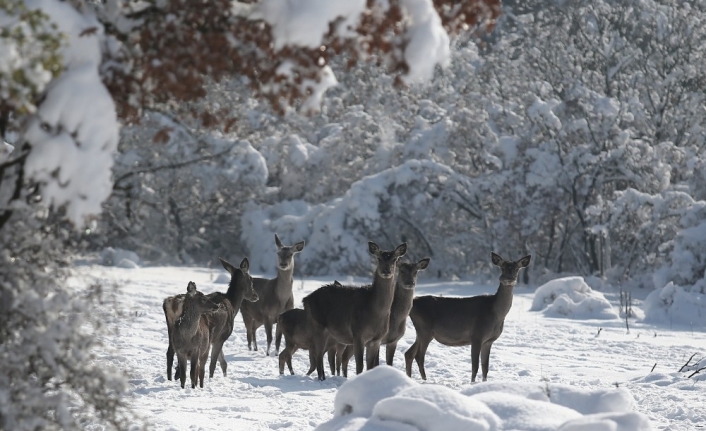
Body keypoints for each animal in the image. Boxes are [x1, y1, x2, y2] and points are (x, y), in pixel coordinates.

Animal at [302, 243, 408, 382]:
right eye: (378, 258)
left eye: (395, 259)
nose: (386, 271)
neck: (374, 311)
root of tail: (306, 299)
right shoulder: (358, 334)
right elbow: (360, 365)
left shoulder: (376, 340)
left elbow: (370, 366)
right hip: (318, 325)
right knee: (318, 355)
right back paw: (321, 379)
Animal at [402, 251, 528, 384]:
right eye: (502, 267)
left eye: (517, 269)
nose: (509, 278)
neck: (495, 314)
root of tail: (413, 303)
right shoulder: (476, 335)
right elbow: (475, 366)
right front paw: (472, 383)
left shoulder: (488, 341)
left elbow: (485, 367)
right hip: (425, 330)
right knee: (419, 356)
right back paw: (424, 380)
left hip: (420, 332)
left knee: (409, 353)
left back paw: (410, 378)